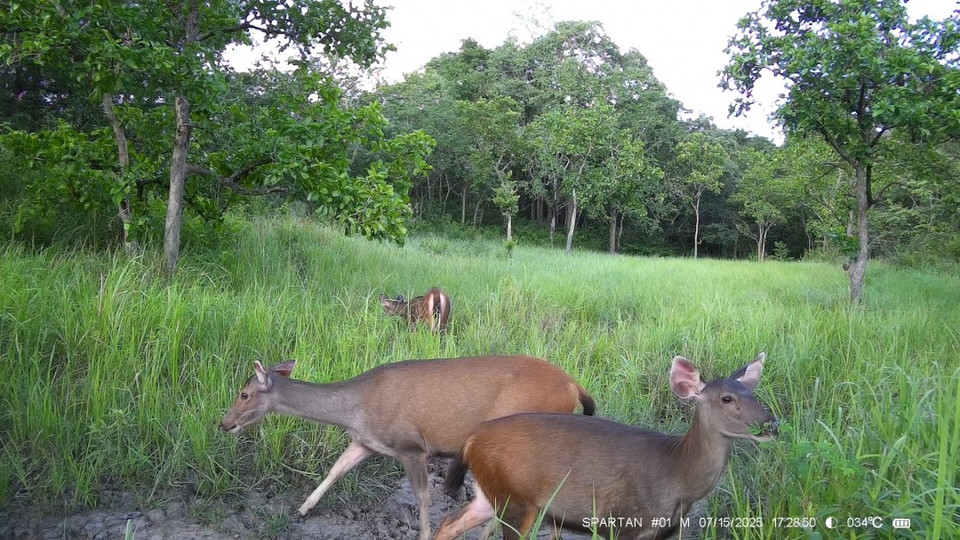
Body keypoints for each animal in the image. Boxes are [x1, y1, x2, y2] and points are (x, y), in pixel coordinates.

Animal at [220, 355, 595, 540]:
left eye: (244, 394)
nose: (224, 424)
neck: (356, 408)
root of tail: (576, 387)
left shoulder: (411, 445)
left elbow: (424, 498)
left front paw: (424, 535)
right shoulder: (366, 441)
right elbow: (336, 470)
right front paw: (302, 509)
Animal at [434, 353, 779, 540]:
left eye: (753, 394)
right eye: (727, 399)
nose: (771, 424)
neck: (677, 475)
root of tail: (472, 438)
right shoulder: (624, 522)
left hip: (493, 492)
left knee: (450, 522)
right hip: (516, 500)